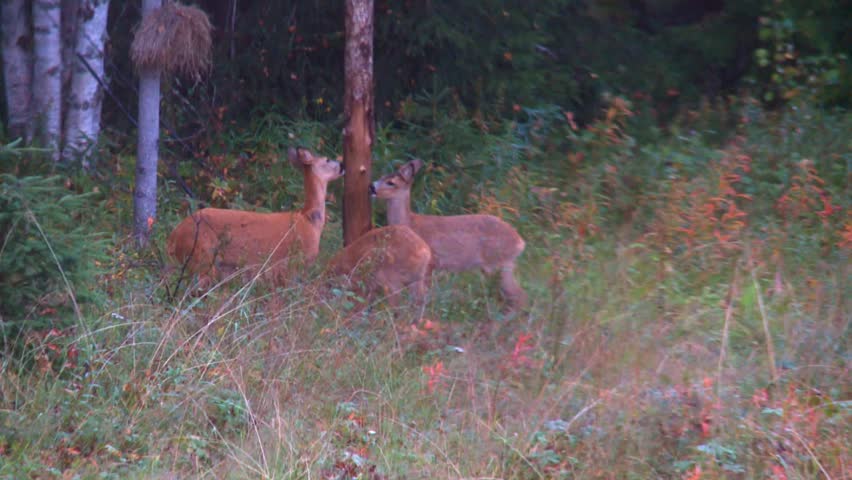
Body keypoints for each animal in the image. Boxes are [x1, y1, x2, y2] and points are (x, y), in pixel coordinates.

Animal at [167, 147, 344, 290]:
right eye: (327, 159)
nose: (343, 166)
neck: (308, 218)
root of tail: (173, 237)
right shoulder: (296, 262)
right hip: (201, 257)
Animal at [370, 159, 527, 311]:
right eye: (383, 176)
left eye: (391, 182)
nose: (371, 187)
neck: (409, 222)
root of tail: (520, 242)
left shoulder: (430, 263)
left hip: (499, 262)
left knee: (518, 295)